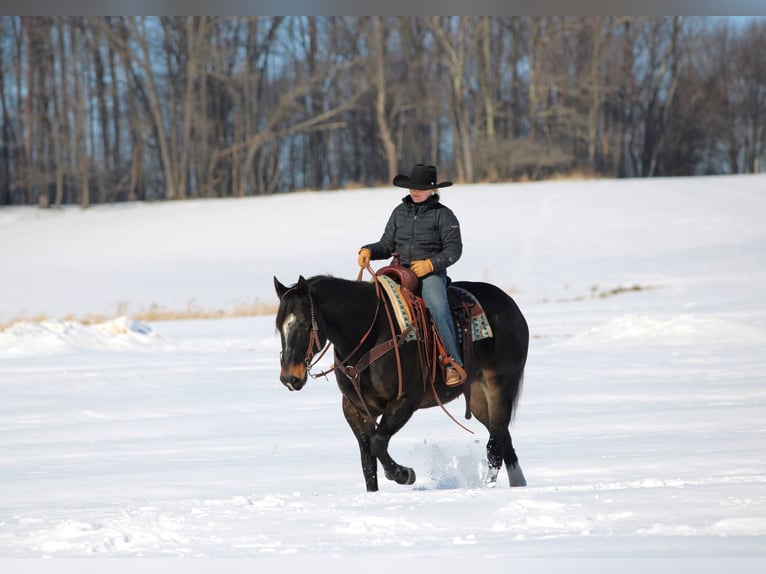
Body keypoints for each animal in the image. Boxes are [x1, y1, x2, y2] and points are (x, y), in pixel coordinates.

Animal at [274, 272, 529, 492]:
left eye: (305, 324)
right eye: (279, 326)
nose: (290, 377)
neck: (369, 335)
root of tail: (511, 305)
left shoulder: (405, 401)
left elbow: (377, 443)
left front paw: (404, 474)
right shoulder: (355, 409)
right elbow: (367, 460)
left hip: (501, 387)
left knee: (495, 445)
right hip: (478, 399)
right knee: (502, 437)